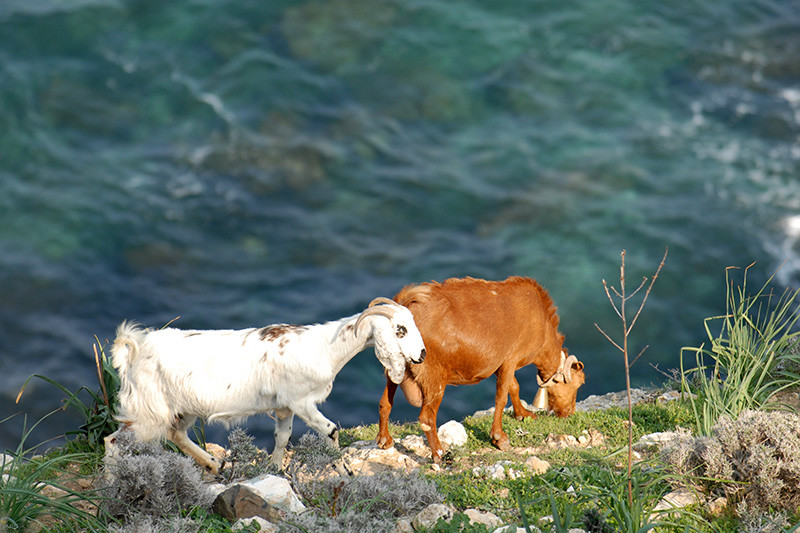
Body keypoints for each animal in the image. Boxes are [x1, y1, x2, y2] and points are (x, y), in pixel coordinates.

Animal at [111, 298, 432, 472]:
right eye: (400, 330)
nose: (422, 355)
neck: (324, 348)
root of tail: (134, 349)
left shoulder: (284, 406)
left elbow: (282, 437)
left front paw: (275, 468)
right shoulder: (301, 401)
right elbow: (331, 431)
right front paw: (344, 470)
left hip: (181, 407)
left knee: (177, 434)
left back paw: (214, 465)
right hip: (147, 410)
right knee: (113, 441)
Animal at [378, 276, 584, 460]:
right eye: (578, 384)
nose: (569, 413)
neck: (540, 321)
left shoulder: (502, 364)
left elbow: (514, 387)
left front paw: (523, 414)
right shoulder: (510, 359)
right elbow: (501, 398)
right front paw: (499, 438)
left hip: (394, 367)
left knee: (385, 402)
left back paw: (384, 440)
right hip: (433, 376)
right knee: (427, 418)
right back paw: (439, 454)